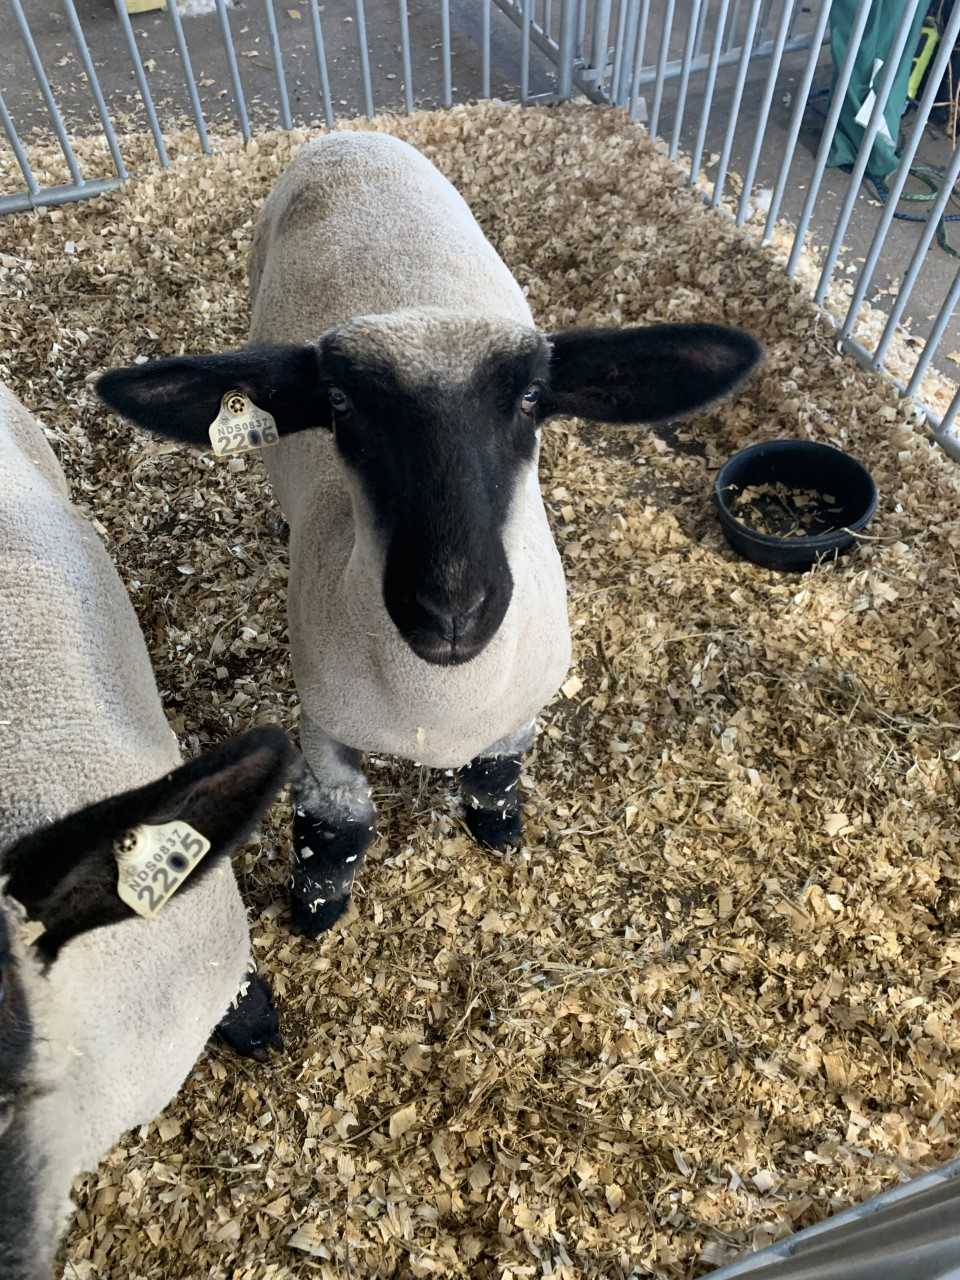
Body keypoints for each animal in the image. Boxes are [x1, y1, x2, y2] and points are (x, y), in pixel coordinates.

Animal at [97, 131, 762, 939]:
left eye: (532, 398)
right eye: (339, 402)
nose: (452, 609)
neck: (437, 709)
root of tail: (352, 134)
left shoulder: (518, 712)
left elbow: (495, 776)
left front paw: (499, 833)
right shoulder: (323, 724)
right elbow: (336, 828)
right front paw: (317, 910)